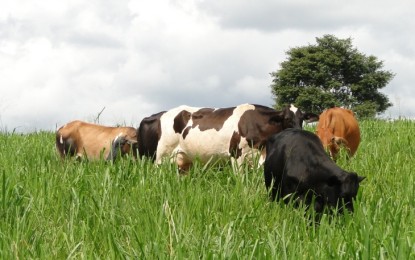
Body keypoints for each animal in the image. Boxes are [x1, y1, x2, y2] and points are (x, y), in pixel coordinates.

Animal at [138, 102, 316, 172]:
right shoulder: (236, 154)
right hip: (160, 159)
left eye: (302, 118)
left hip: (182, 161)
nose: (300, 132)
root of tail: (156, 115)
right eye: (286, 118)